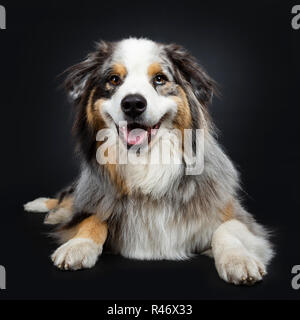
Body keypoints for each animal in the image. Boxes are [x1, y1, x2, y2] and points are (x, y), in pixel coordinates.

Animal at [24, 37, 274, 284]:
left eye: (160, 78)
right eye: (114, 79)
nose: (133, 103)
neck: (146, 163)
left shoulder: (235, 213)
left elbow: (227, 229)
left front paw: (238, 260)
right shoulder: (96, 201)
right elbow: (92, 219)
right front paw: (78, 245)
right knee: (67, 198)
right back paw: (43, 206)